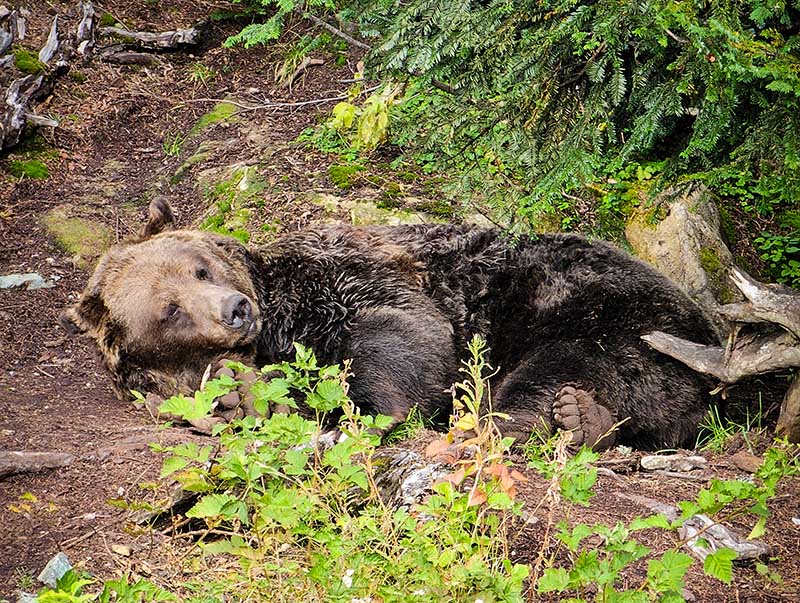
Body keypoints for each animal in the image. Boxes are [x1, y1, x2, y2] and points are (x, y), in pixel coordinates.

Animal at [59, 201, 716, 450]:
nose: (235, 309)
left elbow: (399, 332)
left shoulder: (349, 275)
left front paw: (373, 408)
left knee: (553, 372)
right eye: (167, 308)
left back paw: (563, 419)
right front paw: (238, 397)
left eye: (200, 266)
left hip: (601, 310)